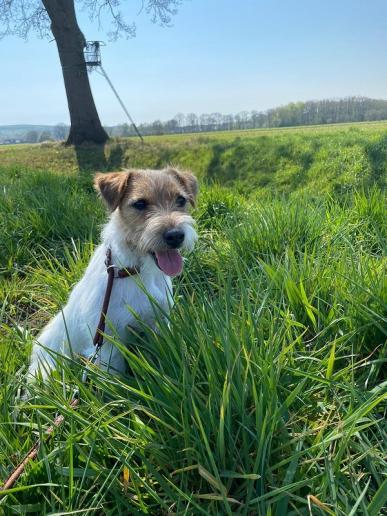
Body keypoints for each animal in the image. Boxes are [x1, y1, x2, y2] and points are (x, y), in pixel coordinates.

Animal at [28, 168, 199, 378]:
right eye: (140, 204)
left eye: (181, 200)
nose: (175, 236)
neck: (134, 271)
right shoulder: (108, 339)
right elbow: (114, 373)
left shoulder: (160, 321)